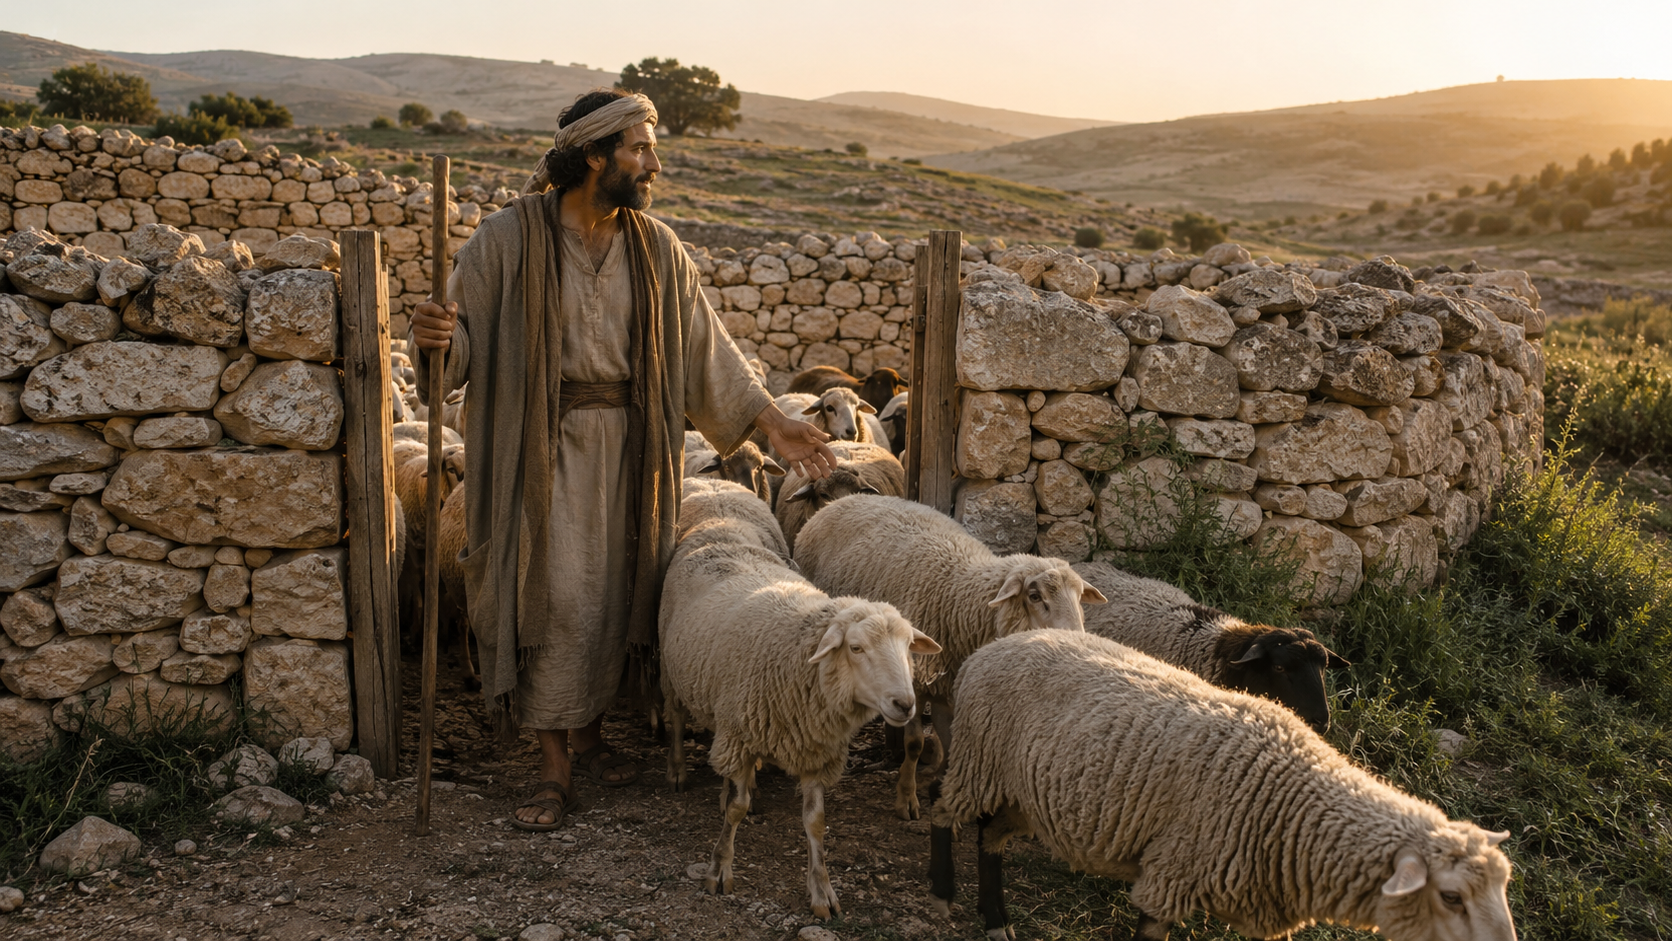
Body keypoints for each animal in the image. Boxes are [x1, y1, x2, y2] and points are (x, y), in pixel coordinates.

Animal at [659, 490, 941, 919]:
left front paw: (822, 892)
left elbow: (815, 822)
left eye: (909, 645)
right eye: (855, 648)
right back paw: (677, 770)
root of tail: (720, 531)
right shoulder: (743, 732)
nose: (906, 704)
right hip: (674, 674)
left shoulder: (813, 748)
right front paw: (719, 870)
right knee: (675, 719)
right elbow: (736, 811)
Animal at [792, 495, 1107, 820]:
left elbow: (949, 733)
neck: (959, 597)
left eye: (1079, 596)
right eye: (1035, 597)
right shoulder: (915, 681)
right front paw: (907, 797)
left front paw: (940, 782)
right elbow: (915, 743)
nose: (1075, 638)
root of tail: (844, 498)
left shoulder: (951, 683)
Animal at [928, 630, 1516, 941]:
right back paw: (942, 890)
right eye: (1451, 897)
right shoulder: (1172, 873)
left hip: (1023, 790)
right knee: (941, 801)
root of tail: (1000, 643)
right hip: (980, 759)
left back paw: (996, 919)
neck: (1289, 798)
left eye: (1504, 887)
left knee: (990, 838)